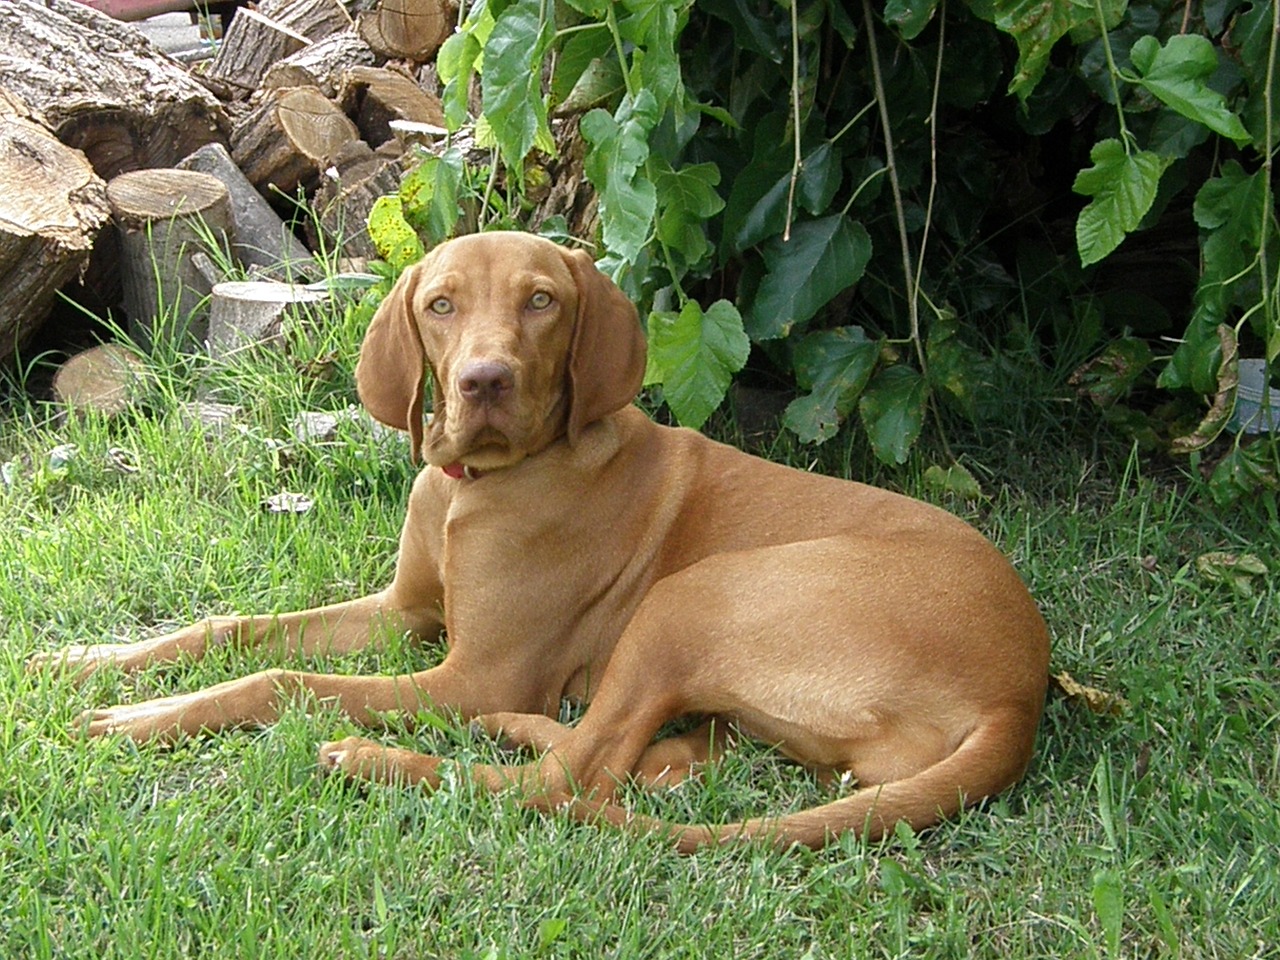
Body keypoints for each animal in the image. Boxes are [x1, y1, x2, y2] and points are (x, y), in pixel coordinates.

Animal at [30, 232, 1049, 849]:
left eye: (542, 303)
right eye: (440, 305)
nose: (482, 382)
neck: (475, 487)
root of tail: (1021, 691)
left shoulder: (473, 669)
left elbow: (278, 679)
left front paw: (138, 719)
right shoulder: (404, 614)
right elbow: (234, 629)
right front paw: (87, 662)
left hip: (696, 595)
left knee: (565, 783)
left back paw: (384, 759)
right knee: (643, 767)